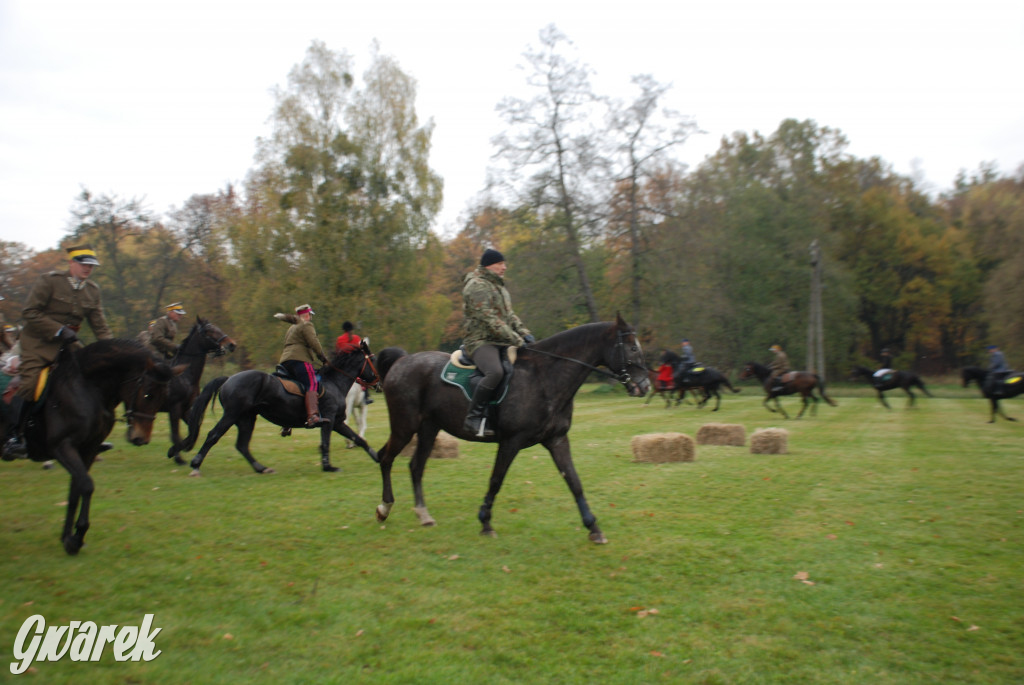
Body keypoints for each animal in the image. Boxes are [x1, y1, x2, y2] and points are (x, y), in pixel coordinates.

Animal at [1, 339, 181, 552]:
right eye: (148, 395)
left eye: (164, 395)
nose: (141, 438)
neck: (87, 388)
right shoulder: (62, 447)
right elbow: (86, 485)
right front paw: (78, 535)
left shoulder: (88, 450)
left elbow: (75, 491)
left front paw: (68, 538)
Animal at [158, 317, 236, 462]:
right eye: (209, 331)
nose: (232, 344)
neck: (185, 376)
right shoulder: (174, 408)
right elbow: (176, 433)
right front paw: (177, 456)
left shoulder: (185, 409)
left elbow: (194, 431)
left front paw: (181, 448)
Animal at [179, 337, 380, 475]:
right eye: (373, 360)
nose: (378, 384)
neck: (334, 382)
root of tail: (229, 378)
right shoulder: (329, 421)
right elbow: (326, 442)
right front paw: (328, 466)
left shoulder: (337, 422)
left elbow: (358, 439)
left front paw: (376, 455)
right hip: (231, 415)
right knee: (214, 435)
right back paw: (196, 464)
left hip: (246, 418)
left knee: (242, 445)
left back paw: (261, 468)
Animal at [372, 315, 651, 544]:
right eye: (632, 348)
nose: (645, 386)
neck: (544, 377)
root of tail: (402, 361)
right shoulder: (511, 441)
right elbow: (496, 480)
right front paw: (485, 521)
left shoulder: (557, 440)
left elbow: (574, 482)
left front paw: (593, 528)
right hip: (405, 427)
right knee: (385, 458)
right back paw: (384, 508)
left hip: (429, 429)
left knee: (415, 467)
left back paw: (423, 514)